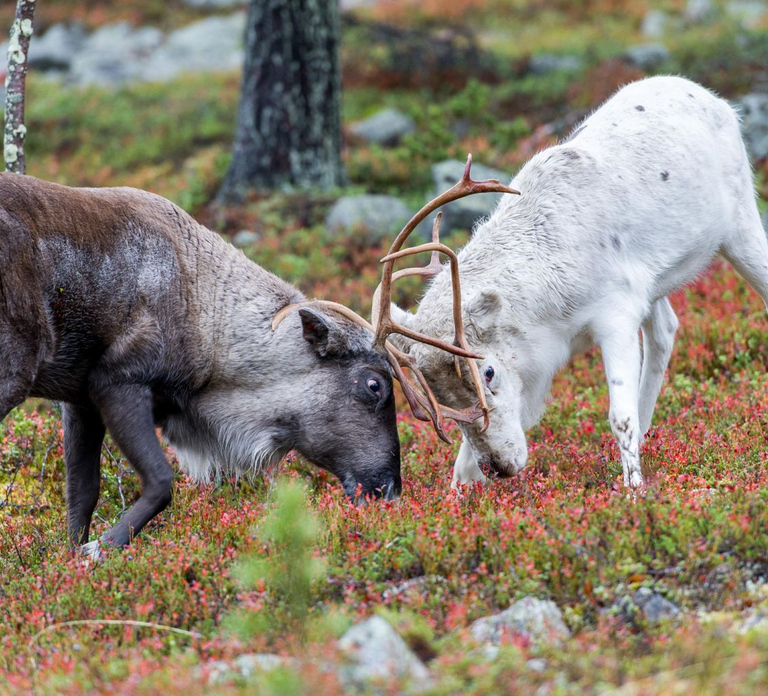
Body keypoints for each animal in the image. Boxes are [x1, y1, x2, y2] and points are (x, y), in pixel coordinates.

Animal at [0, 162, 516, 559]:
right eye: (374, 385)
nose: (390, 490)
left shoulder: (78, 397)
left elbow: (81, 494)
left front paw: (71, 560)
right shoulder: (120, 380)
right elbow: (162, 482)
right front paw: (98, 551)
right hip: (13, 372)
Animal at [378, 75, 768, 492]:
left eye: (488, 372)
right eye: (437, 394)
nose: (500, 467)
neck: (550, 308)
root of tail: (714, 99)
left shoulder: (615, 317)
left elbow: (619, 416)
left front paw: (633, 491)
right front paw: (458, 491)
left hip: (741, 226)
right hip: (656, 285)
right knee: (665, 329)